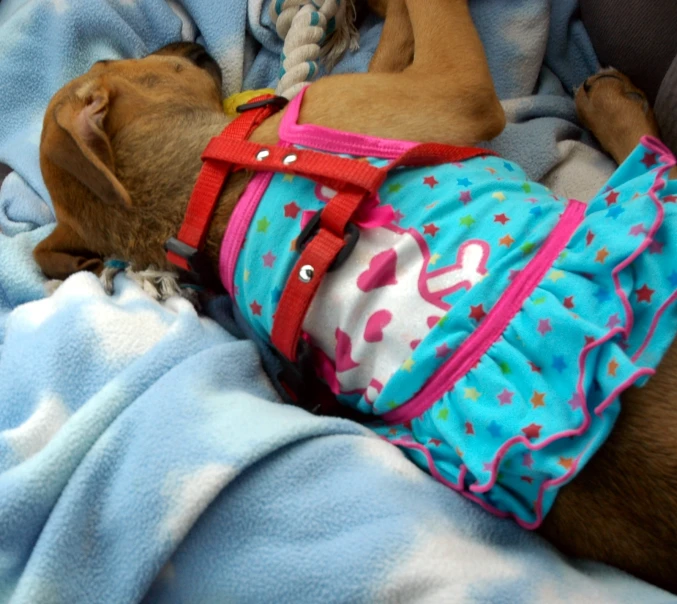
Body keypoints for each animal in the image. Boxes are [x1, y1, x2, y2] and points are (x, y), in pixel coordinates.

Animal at [34, 0, 676, 596]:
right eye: (107, 62)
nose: (180, 41)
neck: (204, 183)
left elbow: (397, 35)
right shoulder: (445, 89)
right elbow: (434, 16)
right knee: (658, 164)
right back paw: (615, 104)